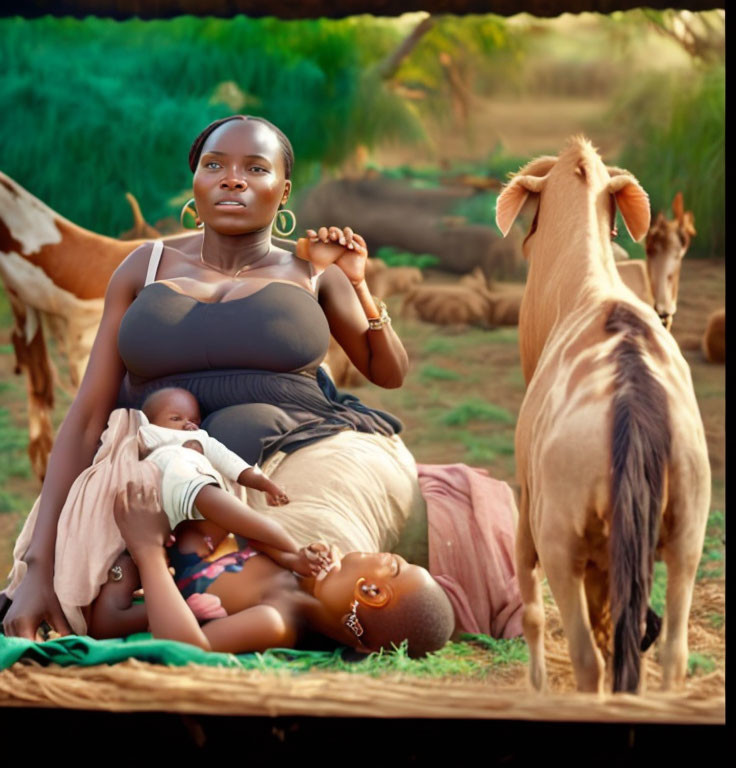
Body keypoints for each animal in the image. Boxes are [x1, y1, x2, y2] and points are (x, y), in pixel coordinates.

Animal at [498, 138, 712, 696]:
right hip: (687, 533)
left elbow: (532, 613)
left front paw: (536, 687)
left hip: (560, 539)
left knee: (587, 658)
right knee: (670, 652)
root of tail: (632, 398)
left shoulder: (528, 513)